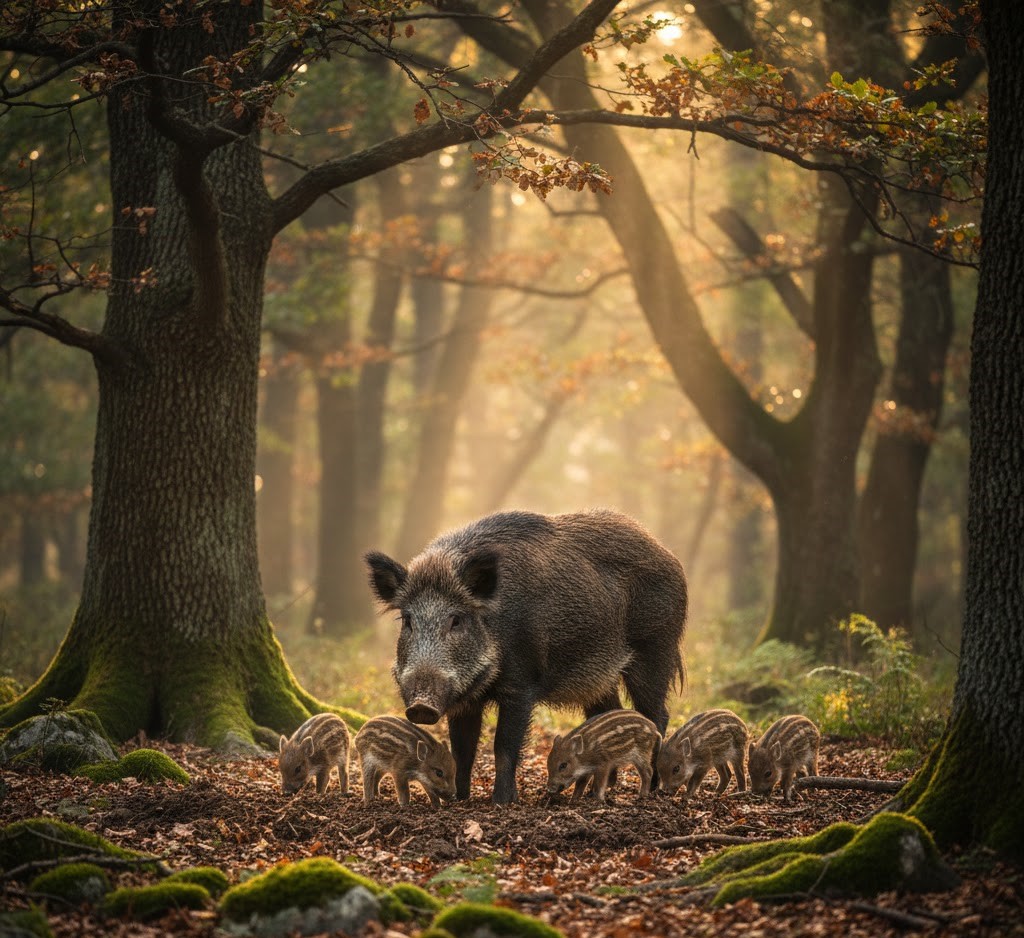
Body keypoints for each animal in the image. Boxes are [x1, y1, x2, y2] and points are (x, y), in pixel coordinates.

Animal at [365, 509, 687, 804]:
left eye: (456, 620)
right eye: (407, 620)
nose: (421, 707)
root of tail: (669, 555)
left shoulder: (521, 684)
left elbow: (504, 746)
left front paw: (502, 802)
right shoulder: (465, 701)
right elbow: (463, 749)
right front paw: (459, 800)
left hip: (655, 650)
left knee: (657, 715)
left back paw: (652, 789)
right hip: (599, 679)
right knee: (609, 713)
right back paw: (600, 791)